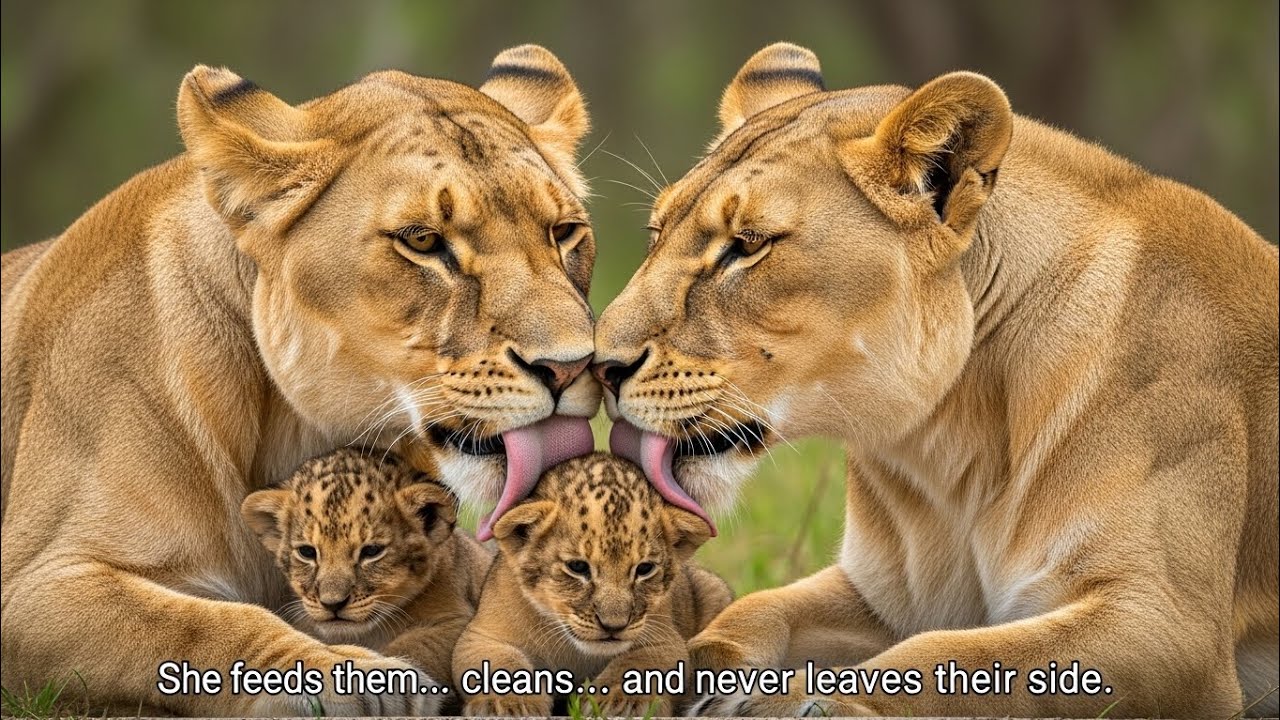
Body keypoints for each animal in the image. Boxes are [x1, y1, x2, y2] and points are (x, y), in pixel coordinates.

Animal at [1, 45, 600, 716]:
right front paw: (347, 681)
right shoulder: (36, 588)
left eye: (564, 232)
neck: (294, 434)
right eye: (423, 240)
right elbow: (204, 624)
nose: (572, 365)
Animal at [595, 43, 1278, 718]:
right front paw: (660, 675)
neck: (948, 448)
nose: (601, 365)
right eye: (656, 233)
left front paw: (806, 704)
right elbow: (757, 608)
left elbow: (953, 660)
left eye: (748, 244)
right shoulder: (884, 595)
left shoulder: (1168, 626)